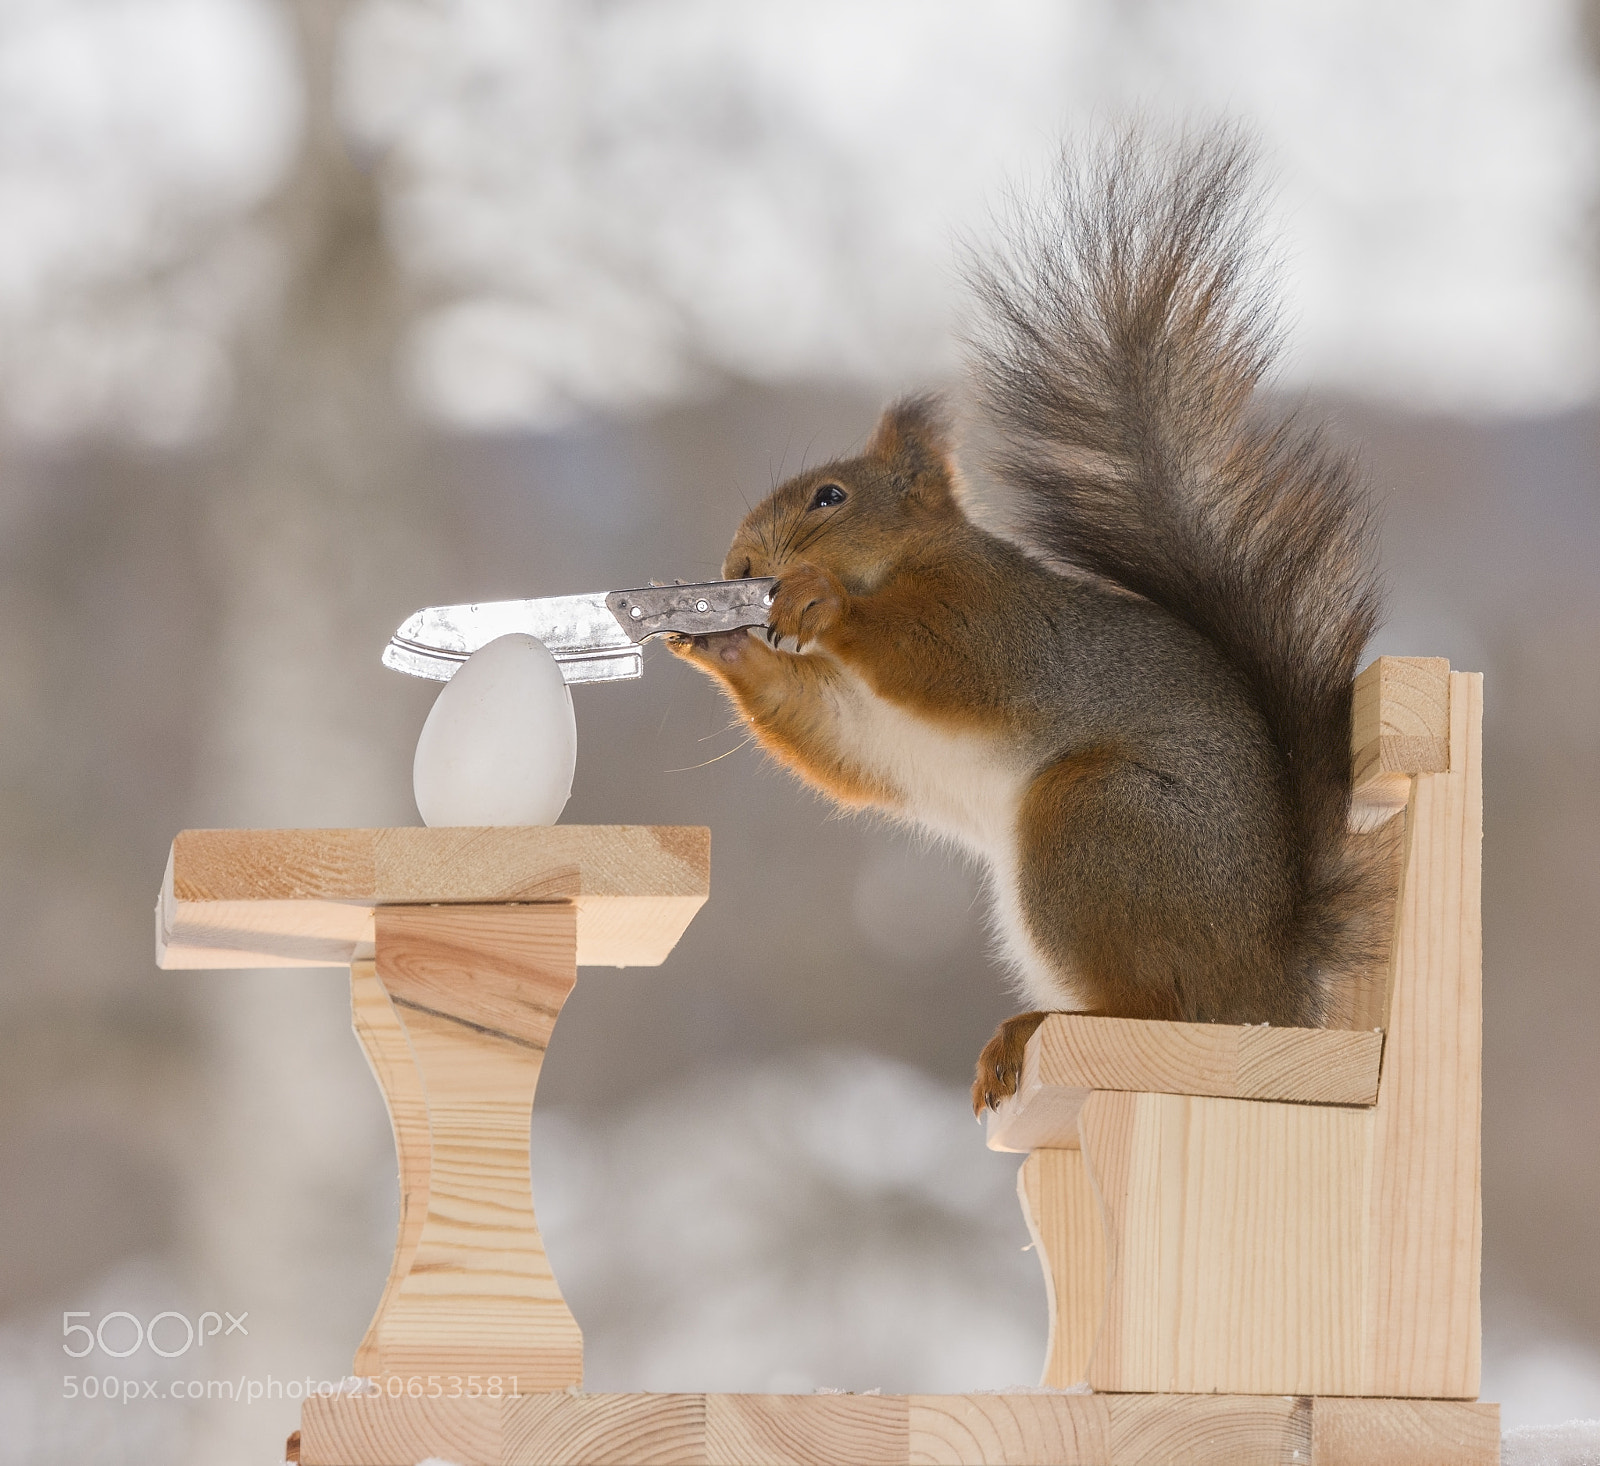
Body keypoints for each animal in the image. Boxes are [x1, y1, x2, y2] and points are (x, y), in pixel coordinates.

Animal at [667, 132, 1395, 1115]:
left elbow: (942, 657)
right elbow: (825, 724)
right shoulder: (863, 720)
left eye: (830, 497)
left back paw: (1038, 1029)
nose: (740, 571)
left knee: (1146, 1008)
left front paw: (821, 597)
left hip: (1097, 827)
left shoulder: (997, 620)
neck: (908, 565)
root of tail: (1269, 988)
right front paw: (722, 640)